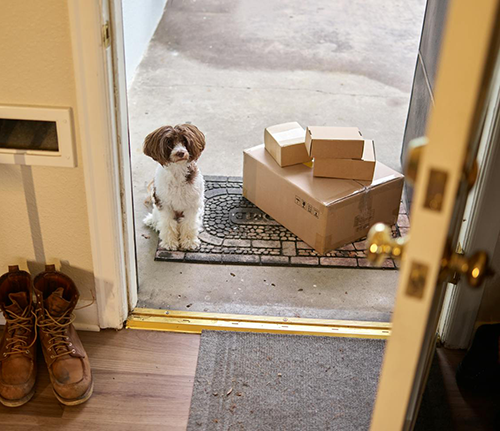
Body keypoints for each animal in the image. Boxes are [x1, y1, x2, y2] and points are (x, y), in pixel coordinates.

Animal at [144, 123, 206, 251]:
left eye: (184, 140)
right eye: (169, 142)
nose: (180, 152)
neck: (178, 171)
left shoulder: (192, 205)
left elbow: (189, 223)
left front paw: (189, 242)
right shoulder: (164, 204)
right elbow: (167, 223)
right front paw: (169, 242)